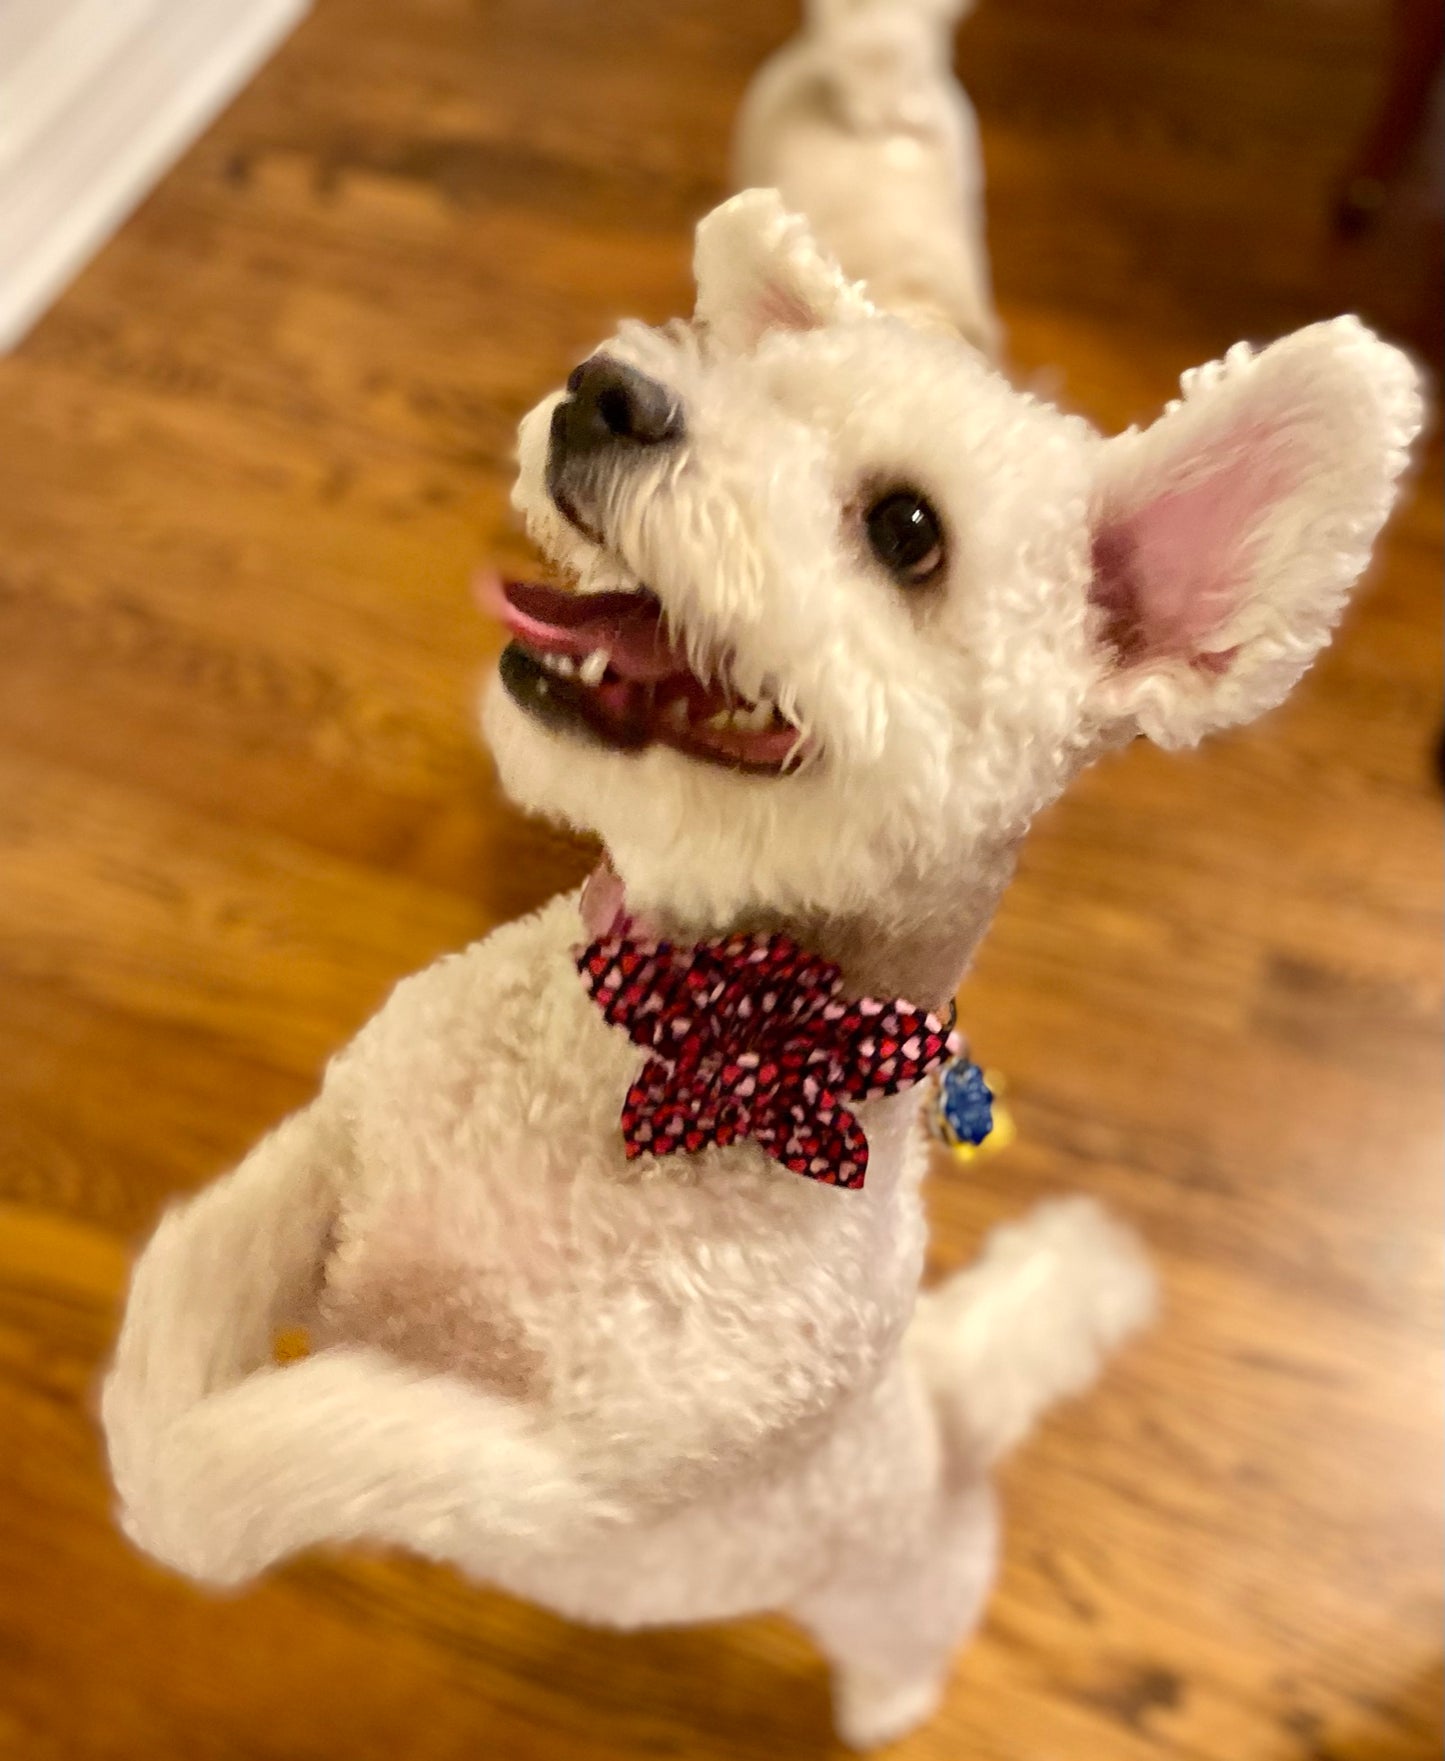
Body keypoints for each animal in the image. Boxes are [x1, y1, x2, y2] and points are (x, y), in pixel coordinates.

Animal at [104, 10, 1422, 1746]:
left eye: (905, 529)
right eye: (732, 381)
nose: (604, 394)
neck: (685, 1038)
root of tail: (949, 1417)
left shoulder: (554, 1471)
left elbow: (234, 1469)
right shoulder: (334, 1138)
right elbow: (190, 1278)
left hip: (902, 1598)